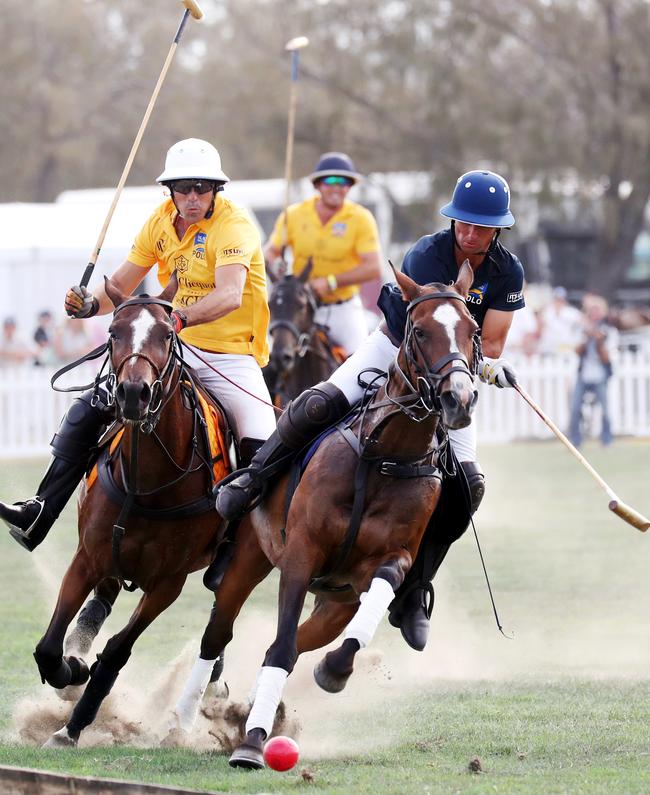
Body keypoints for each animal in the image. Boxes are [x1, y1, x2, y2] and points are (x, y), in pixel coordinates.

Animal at [38, 278, 228, 748]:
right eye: (112, 332)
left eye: (167, 334)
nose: (131, 394)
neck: (147, 483)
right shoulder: (87, 556)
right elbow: (49, 646)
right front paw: (72, 670)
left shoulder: (168, 584)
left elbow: (117, 652)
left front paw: (74, 724)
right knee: (101, 599)